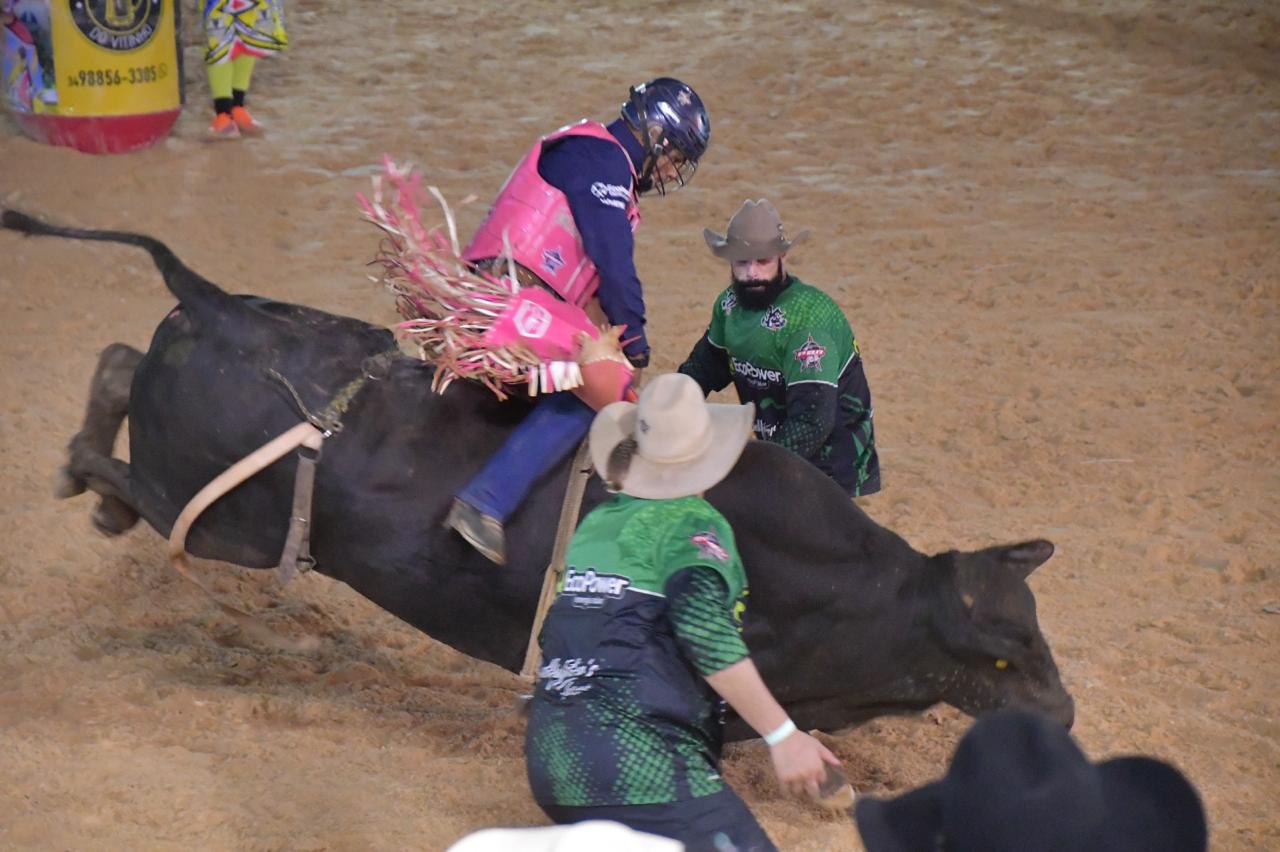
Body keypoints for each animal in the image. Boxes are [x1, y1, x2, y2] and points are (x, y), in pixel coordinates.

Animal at [2, 210, 1075, 737]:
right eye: (1005, 655)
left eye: (1037, 628)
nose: (1065, 713)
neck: (862, 594)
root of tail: (216, 301)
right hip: (235, 528)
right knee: (137, 480)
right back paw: (83, 480)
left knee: (116, 364)